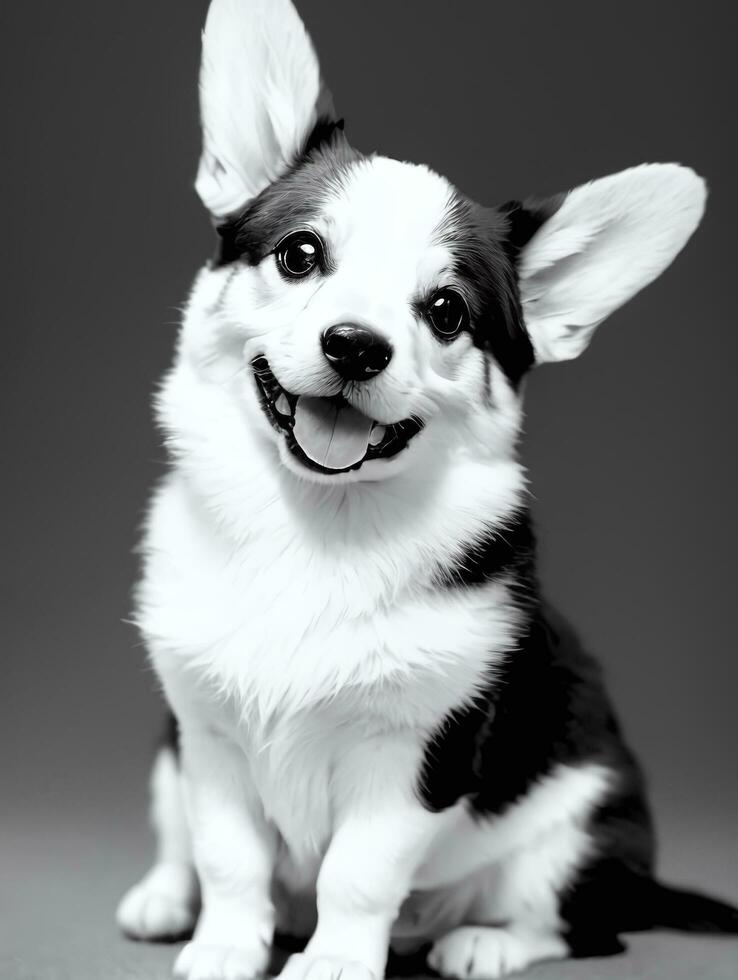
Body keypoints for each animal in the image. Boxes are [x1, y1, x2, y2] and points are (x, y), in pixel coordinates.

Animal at [115, 1, 732, 980]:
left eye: (445, 312)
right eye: (300, 256)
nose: (357, 345)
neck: (314, 529)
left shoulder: (416, 757)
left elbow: (357, 875)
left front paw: (333, 960)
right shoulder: (206, 743)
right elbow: (228, 857)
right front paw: (226, 946)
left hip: (585, 827)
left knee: (576, 923)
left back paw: (483, 940)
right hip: (167, 755)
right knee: (182, 840)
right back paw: (165, 896)